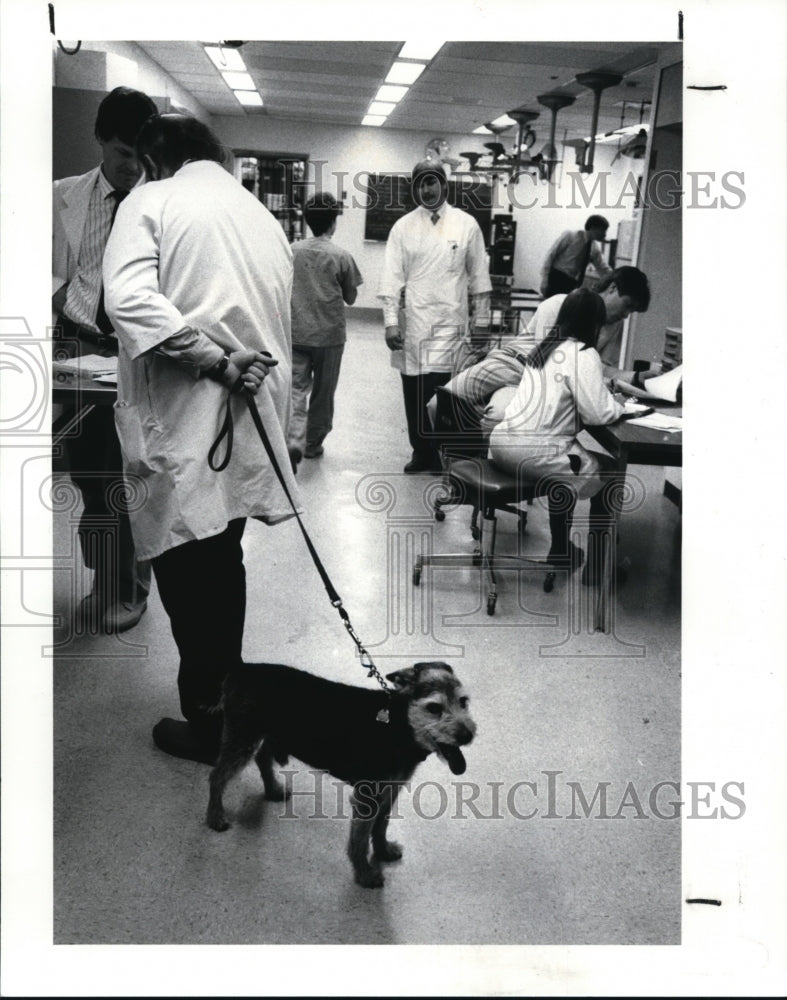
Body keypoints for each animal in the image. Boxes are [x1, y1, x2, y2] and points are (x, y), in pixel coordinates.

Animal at [206, 660, 478, 888]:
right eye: (434, 707)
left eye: (463, 702)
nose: (467, 735)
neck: (398, 726)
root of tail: (240, 669)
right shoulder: (368, 797)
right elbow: (360, 838)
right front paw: (364, 873)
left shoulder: (390, 790)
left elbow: (381, 825)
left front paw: (383, 851)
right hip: (241, 739)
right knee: (217, 777)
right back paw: (215, 817)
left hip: (265, 735)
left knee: (262, 757)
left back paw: (273, 789)